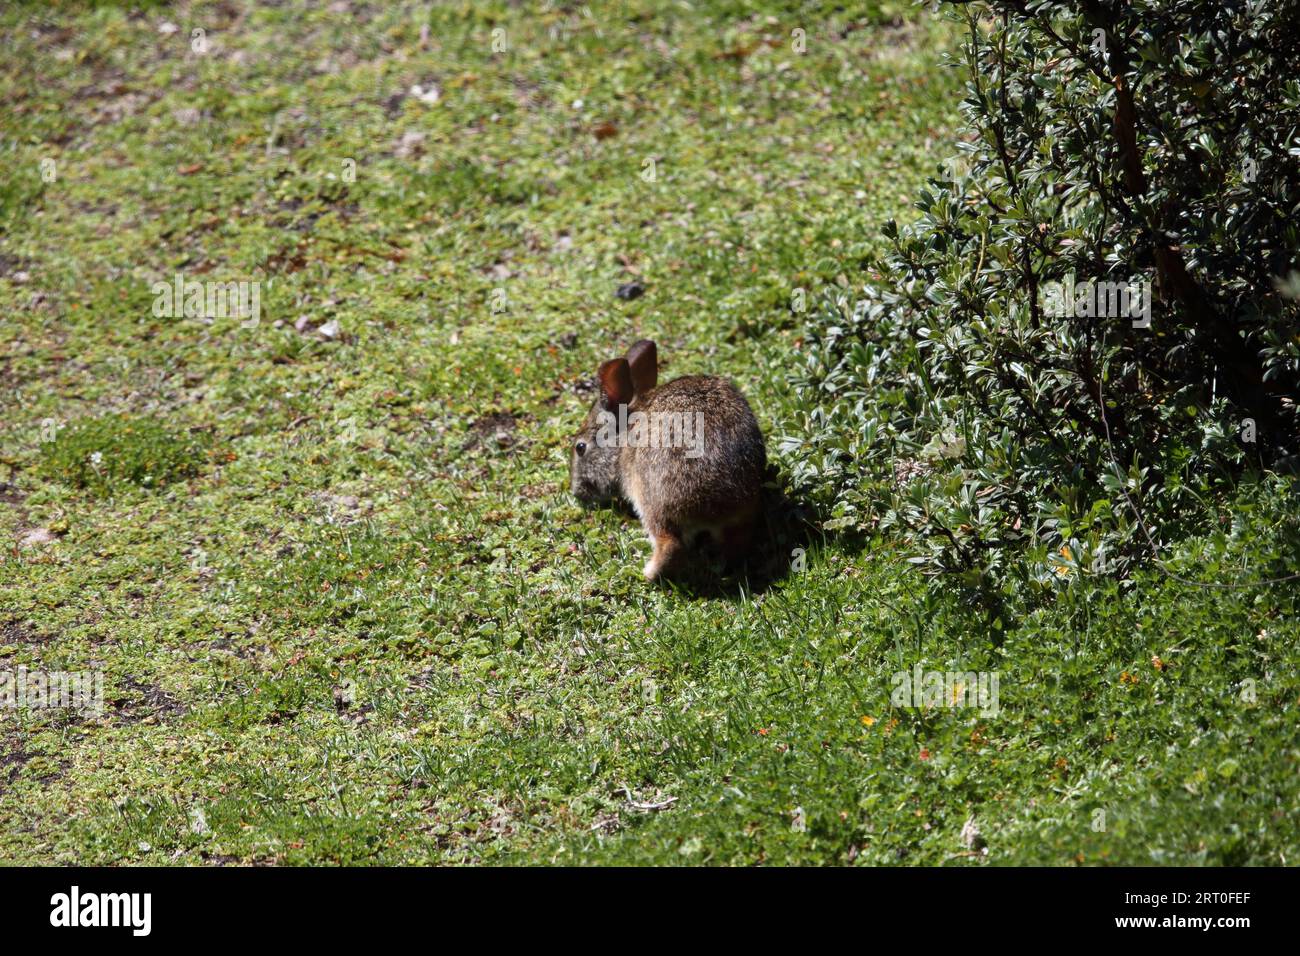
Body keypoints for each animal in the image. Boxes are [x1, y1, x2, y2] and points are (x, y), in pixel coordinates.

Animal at [569, 339, 766, 581]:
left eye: (580, 448)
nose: (577, 492)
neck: (622, 436)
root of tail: (720, 507)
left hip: (652, 499)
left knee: (671, 545)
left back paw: (645, 572)